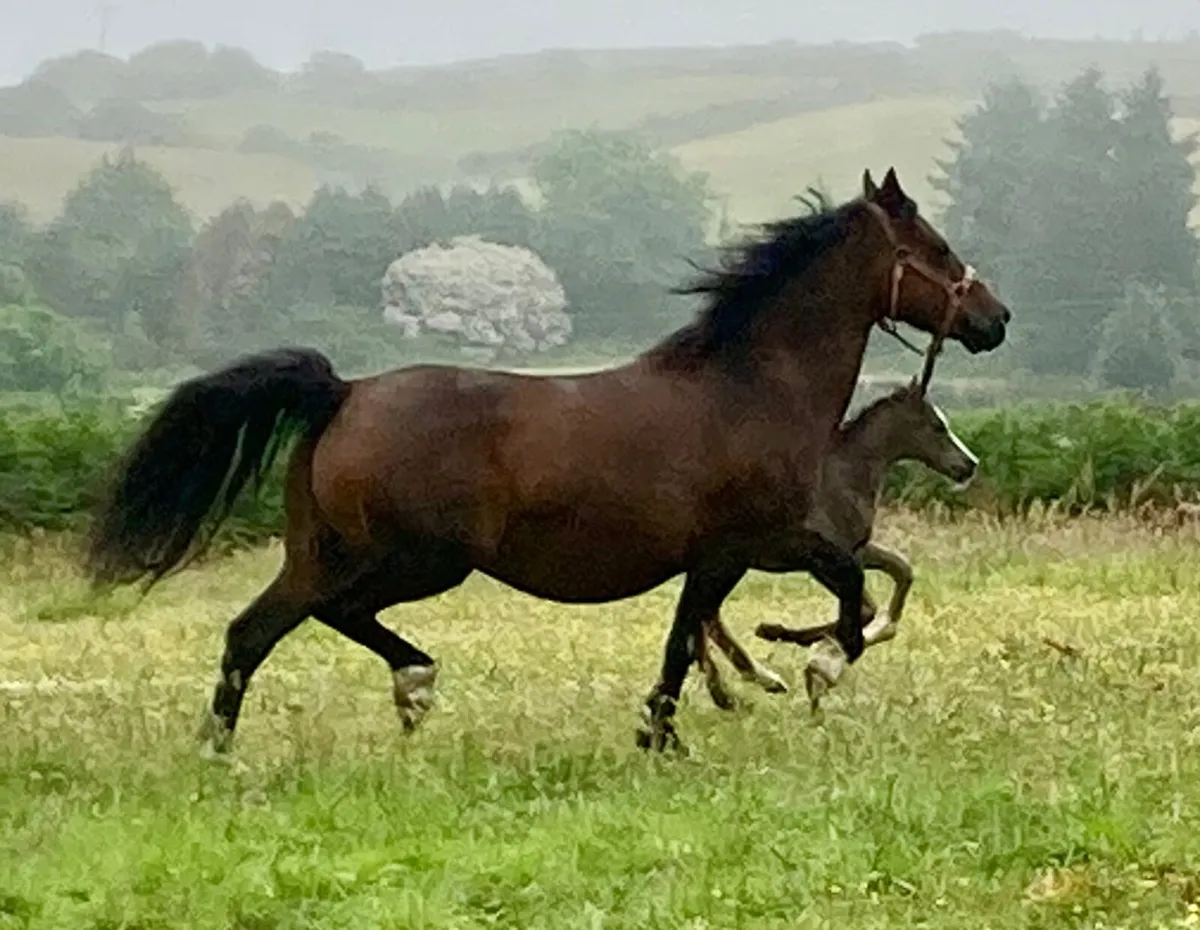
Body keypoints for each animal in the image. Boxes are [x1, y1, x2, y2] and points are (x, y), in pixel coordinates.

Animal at [693, 378, 979, 714]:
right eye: (937, 426)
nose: (969, 465)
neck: (844, 476)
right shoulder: (822, 560)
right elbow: (867, 607)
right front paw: (816, 657)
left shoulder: (856, 551)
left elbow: (901, 573)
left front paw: (807, 649)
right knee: (706, 615)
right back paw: (743, 685)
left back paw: (738, 687)